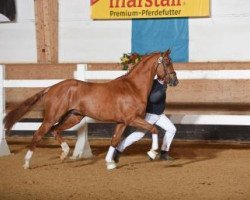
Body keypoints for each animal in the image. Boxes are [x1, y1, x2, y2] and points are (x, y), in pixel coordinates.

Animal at [3, 49, 178, 169]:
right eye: (167, 61)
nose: (175, 81)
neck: (133, 87)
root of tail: (52, 87)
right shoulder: (132, 119)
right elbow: (153, 129)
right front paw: (153, 153)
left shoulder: (122, 122)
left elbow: (115, 140)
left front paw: (110, 163)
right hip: (52, 117)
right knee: (38, 134)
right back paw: (27, 163)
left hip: (74, 117)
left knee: (55, 130)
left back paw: (65, 153)